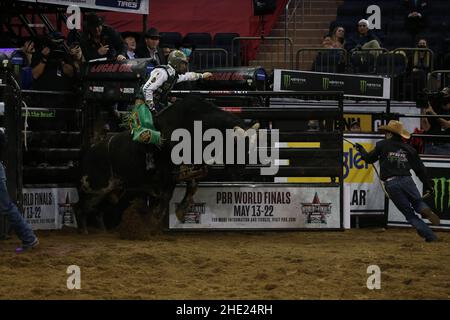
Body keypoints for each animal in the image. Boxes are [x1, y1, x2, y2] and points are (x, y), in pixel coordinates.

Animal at [76, 95, 256, 232]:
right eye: (235, 145)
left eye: (250, 148)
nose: (240, 173)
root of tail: (90, 150)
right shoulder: (167, 173)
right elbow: (167, 195)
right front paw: (154, 219)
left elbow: (192, 186)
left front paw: (180, 212)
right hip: (95, 186)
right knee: (81, 206)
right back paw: (84, 231)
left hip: (111, 189)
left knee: (96, 210)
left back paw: (102, 232)